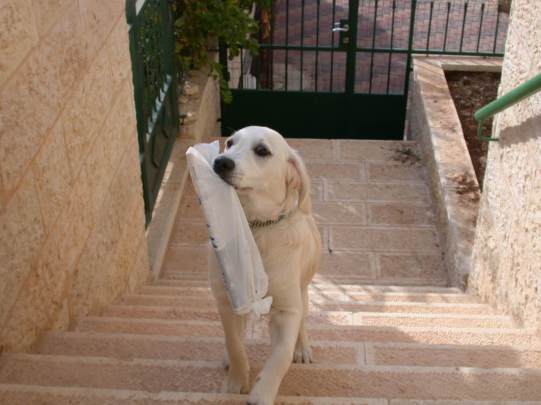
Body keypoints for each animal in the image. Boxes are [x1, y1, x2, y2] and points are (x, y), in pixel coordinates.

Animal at [207, 126, 321, 404]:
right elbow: (235, 345)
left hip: (302, 291)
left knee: (303, 319)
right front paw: (236, 382)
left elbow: (281, 356)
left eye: (261, 150)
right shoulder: (227, 301)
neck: (255, 229)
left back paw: (302, 347)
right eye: (229, 143)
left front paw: (263, 393)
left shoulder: (287, 310)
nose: (221, 162)